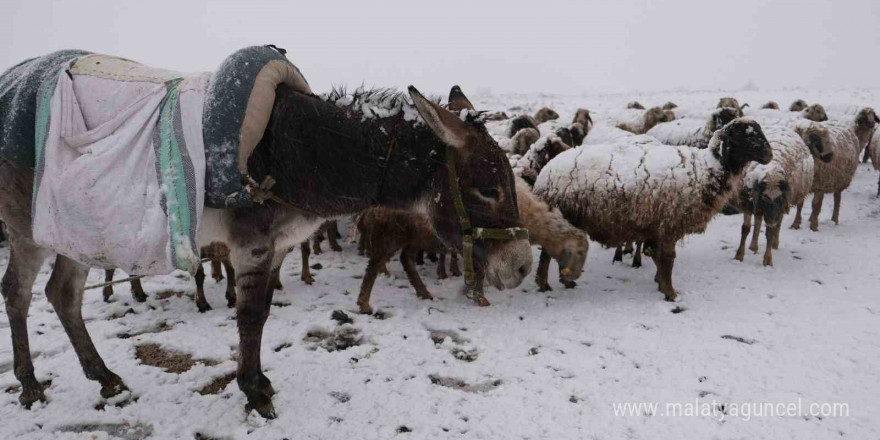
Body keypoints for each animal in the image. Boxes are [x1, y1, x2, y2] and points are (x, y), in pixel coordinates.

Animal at [532, 118, 772, 300]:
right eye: (746, 136)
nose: (769, 155)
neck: (707, 170)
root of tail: (545, 174)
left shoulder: (657, 225)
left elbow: (657, 255)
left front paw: (660, 282)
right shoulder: (670, 223)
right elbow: (668, 258)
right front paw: (670, 292)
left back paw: (563, 281)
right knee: (546, 253)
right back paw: (544, 283)